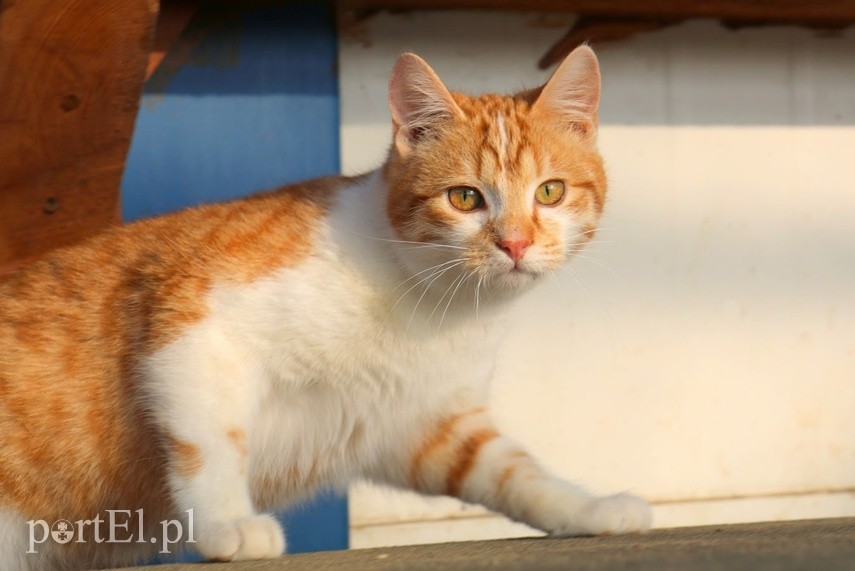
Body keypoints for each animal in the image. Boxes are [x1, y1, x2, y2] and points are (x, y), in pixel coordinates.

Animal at [0, 45, 652, 571]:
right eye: (465, 198)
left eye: (551, 192)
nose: (514, 243)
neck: (432, 304)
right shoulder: (191, 325)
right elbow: (212, 440)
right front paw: (228, 523)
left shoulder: (428, 424)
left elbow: (516, 472)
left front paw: (589, 507)